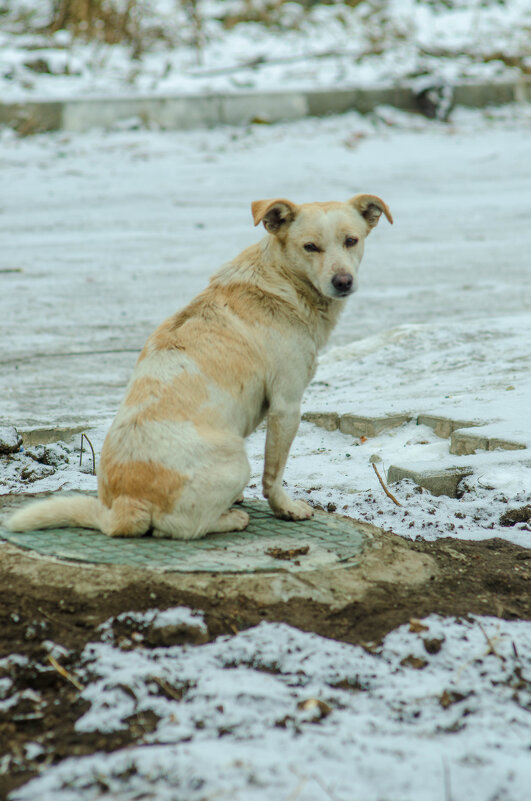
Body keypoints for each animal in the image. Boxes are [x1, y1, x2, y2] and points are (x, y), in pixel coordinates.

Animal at [6, 196, 392, 540]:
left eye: (351, 240)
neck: (280, 280)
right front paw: (285, 508)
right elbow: (274, 473)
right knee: (178, 529)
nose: (343, 281)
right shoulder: (286, 404)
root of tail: (124, 508)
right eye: (310, 247)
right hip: (236, 461)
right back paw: (231, 519)